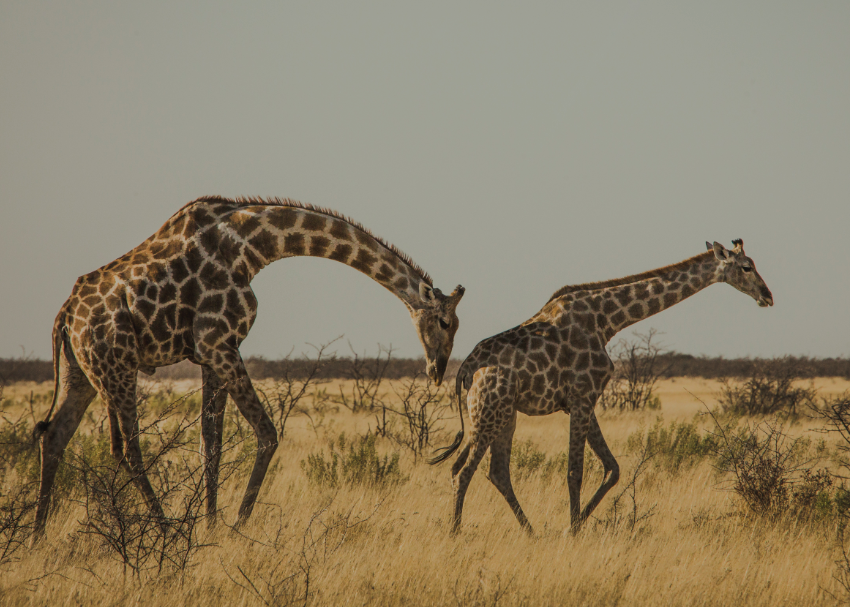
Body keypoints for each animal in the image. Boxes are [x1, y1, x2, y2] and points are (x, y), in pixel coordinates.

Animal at [33, 195, 465, 538]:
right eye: (446, 322)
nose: (437, 370)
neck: (252, 245)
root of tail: (65, 317)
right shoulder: (218, 342)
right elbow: (267, 433)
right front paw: (236, 524)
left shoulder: (210, 353)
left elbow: (211, 443)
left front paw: (209, 526)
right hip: (117, 366)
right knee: (126, 448)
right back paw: (165, 529)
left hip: (80, 373)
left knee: (54, 435)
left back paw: (36, 537)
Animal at [429, 239, 772, 535]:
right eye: (746, 267)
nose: (767, 296)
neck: (607, 319)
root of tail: (465, 371)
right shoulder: (582, 397)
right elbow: (575, 472)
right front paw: (571, 530)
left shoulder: (582, 401)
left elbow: (613, 468)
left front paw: (576, 523)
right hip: (490, 413)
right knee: (464, 471)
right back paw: (456, 532)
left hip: (501, 415)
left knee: (492, 472)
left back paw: (531, 532)